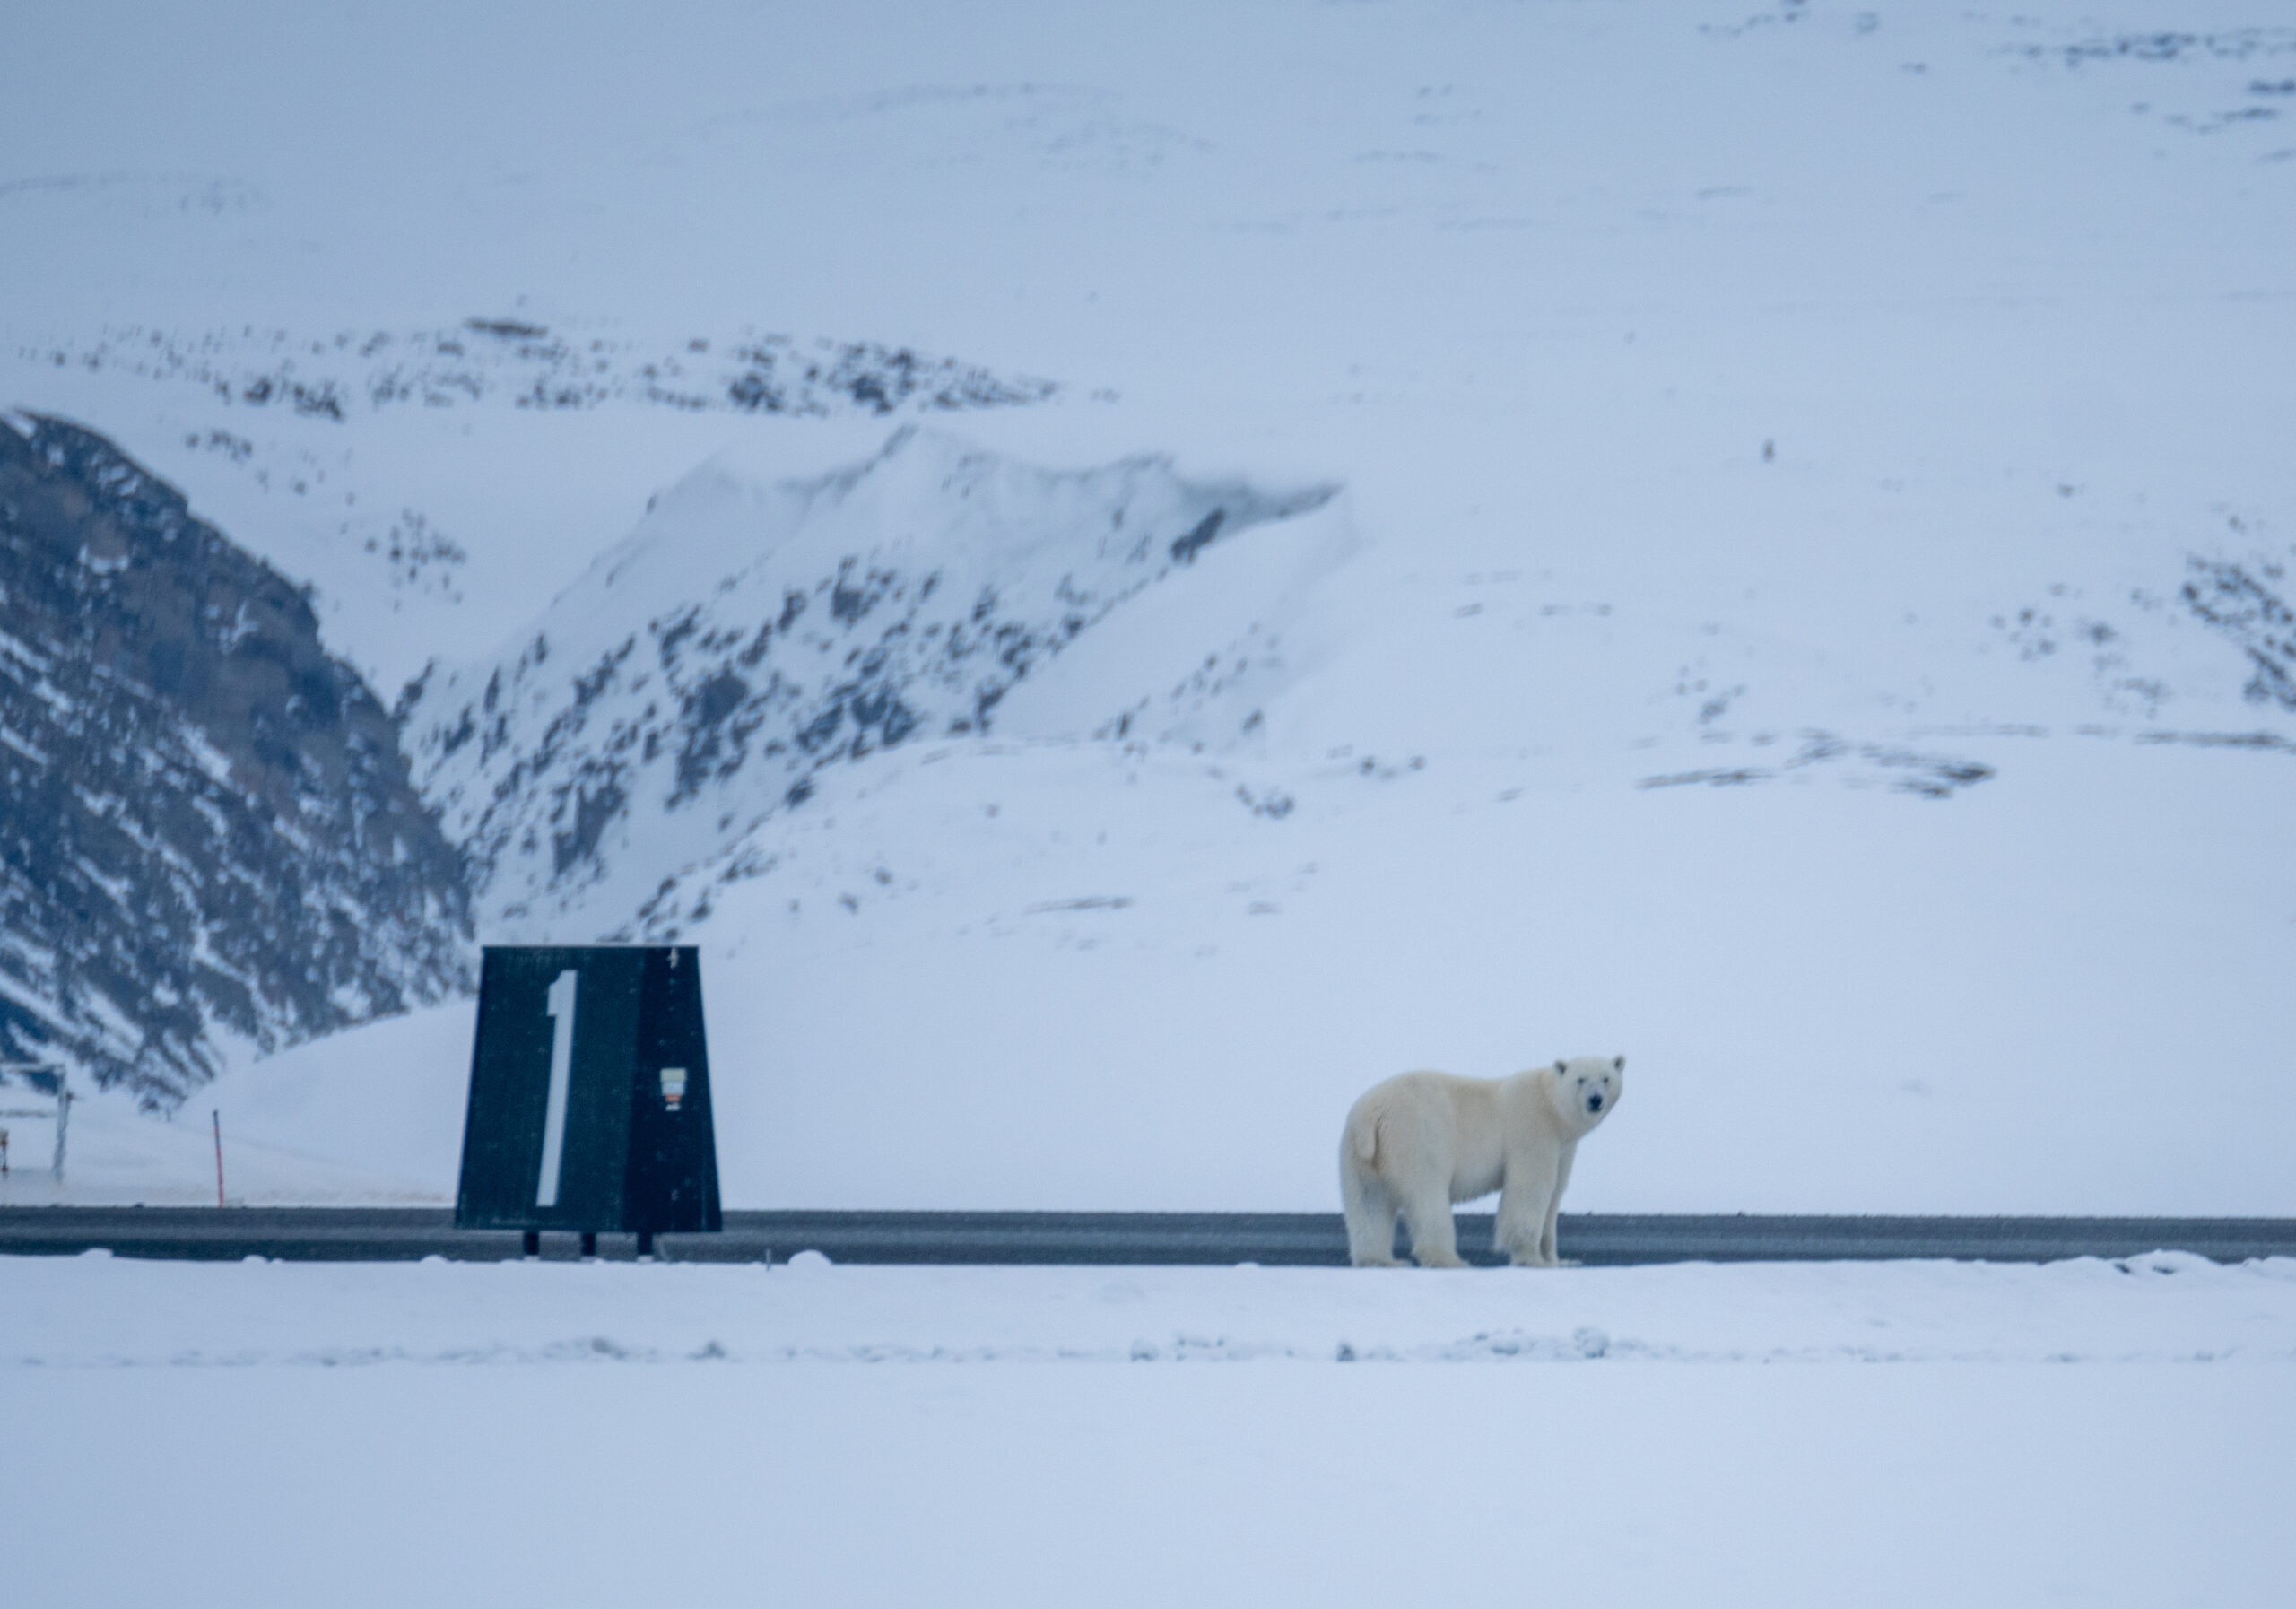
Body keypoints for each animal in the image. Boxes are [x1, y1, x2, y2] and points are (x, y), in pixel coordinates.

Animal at [1338, 1056, 1623, 1268]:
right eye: (1581, 1079)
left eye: (1606, 1078)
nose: (1595, 1099)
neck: (1552, 1108)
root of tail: (1372, 1115)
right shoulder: (1533, 1132)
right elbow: (1530, 1191)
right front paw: (1530, 1257)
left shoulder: (1563, 1149)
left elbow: (1554, 1195)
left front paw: (1560, 1260)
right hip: (1417, 1136)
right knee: (1427, 1197)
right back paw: (1448, 1259)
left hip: (1360, 1155)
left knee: (1369, 1204)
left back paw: (1380, 1260)